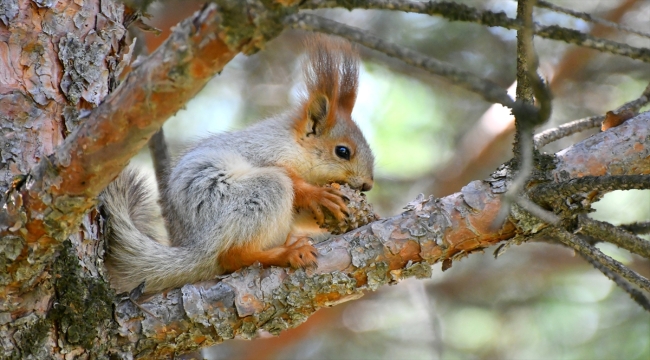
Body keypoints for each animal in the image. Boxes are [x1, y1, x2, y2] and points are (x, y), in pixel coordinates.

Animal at [101, 35, 374, 296]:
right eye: (342, 151)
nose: (367, 186)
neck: (294, 144)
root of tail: (197, 247)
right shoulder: (263, 151)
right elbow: (290, 177)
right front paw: (317, 194)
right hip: (252, 196)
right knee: (232, 255)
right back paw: (286, 253)